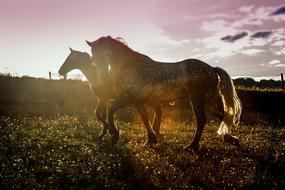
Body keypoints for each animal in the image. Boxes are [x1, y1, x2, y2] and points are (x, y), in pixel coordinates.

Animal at [86, 36, 240, 152]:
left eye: (104, 56)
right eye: (93, 59)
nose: (101, 81)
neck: (130, 66)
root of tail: (212, 69)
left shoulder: (127, 98)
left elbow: (110, 110)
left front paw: (114, 135)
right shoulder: (137, 101)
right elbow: (145, 118)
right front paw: (151, 140)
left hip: (197, 100)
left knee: (202, 120)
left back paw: (192, 146)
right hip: (208, 102)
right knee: (223, 116)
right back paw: (231, 140)